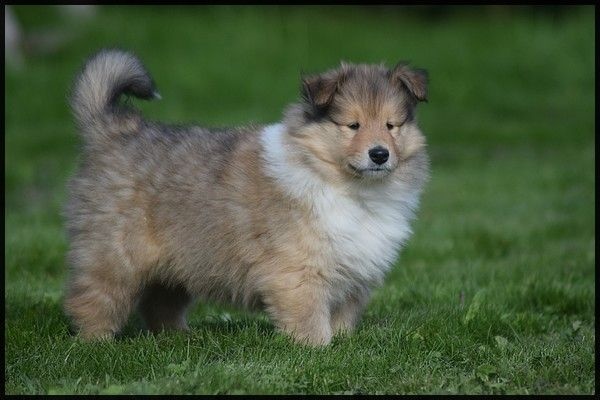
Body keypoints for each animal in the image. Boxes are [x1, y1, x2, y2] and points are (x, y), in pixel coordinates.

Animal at [63, 49, 429, 346]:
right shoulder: (298, 272)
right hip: (115, 255)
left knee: (159, 303)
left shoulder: (354, 274)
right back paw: (96, 343)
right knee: (92, 298)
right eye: (352, 125)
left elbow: (342, 316)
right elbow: (311, 318)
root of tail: (115, 129)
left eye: (392, 125)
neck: (351, 187)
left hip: (177, 260)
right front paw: (318, 349)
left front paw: (343, 344)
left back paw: (180, 337)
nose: (379, 154)